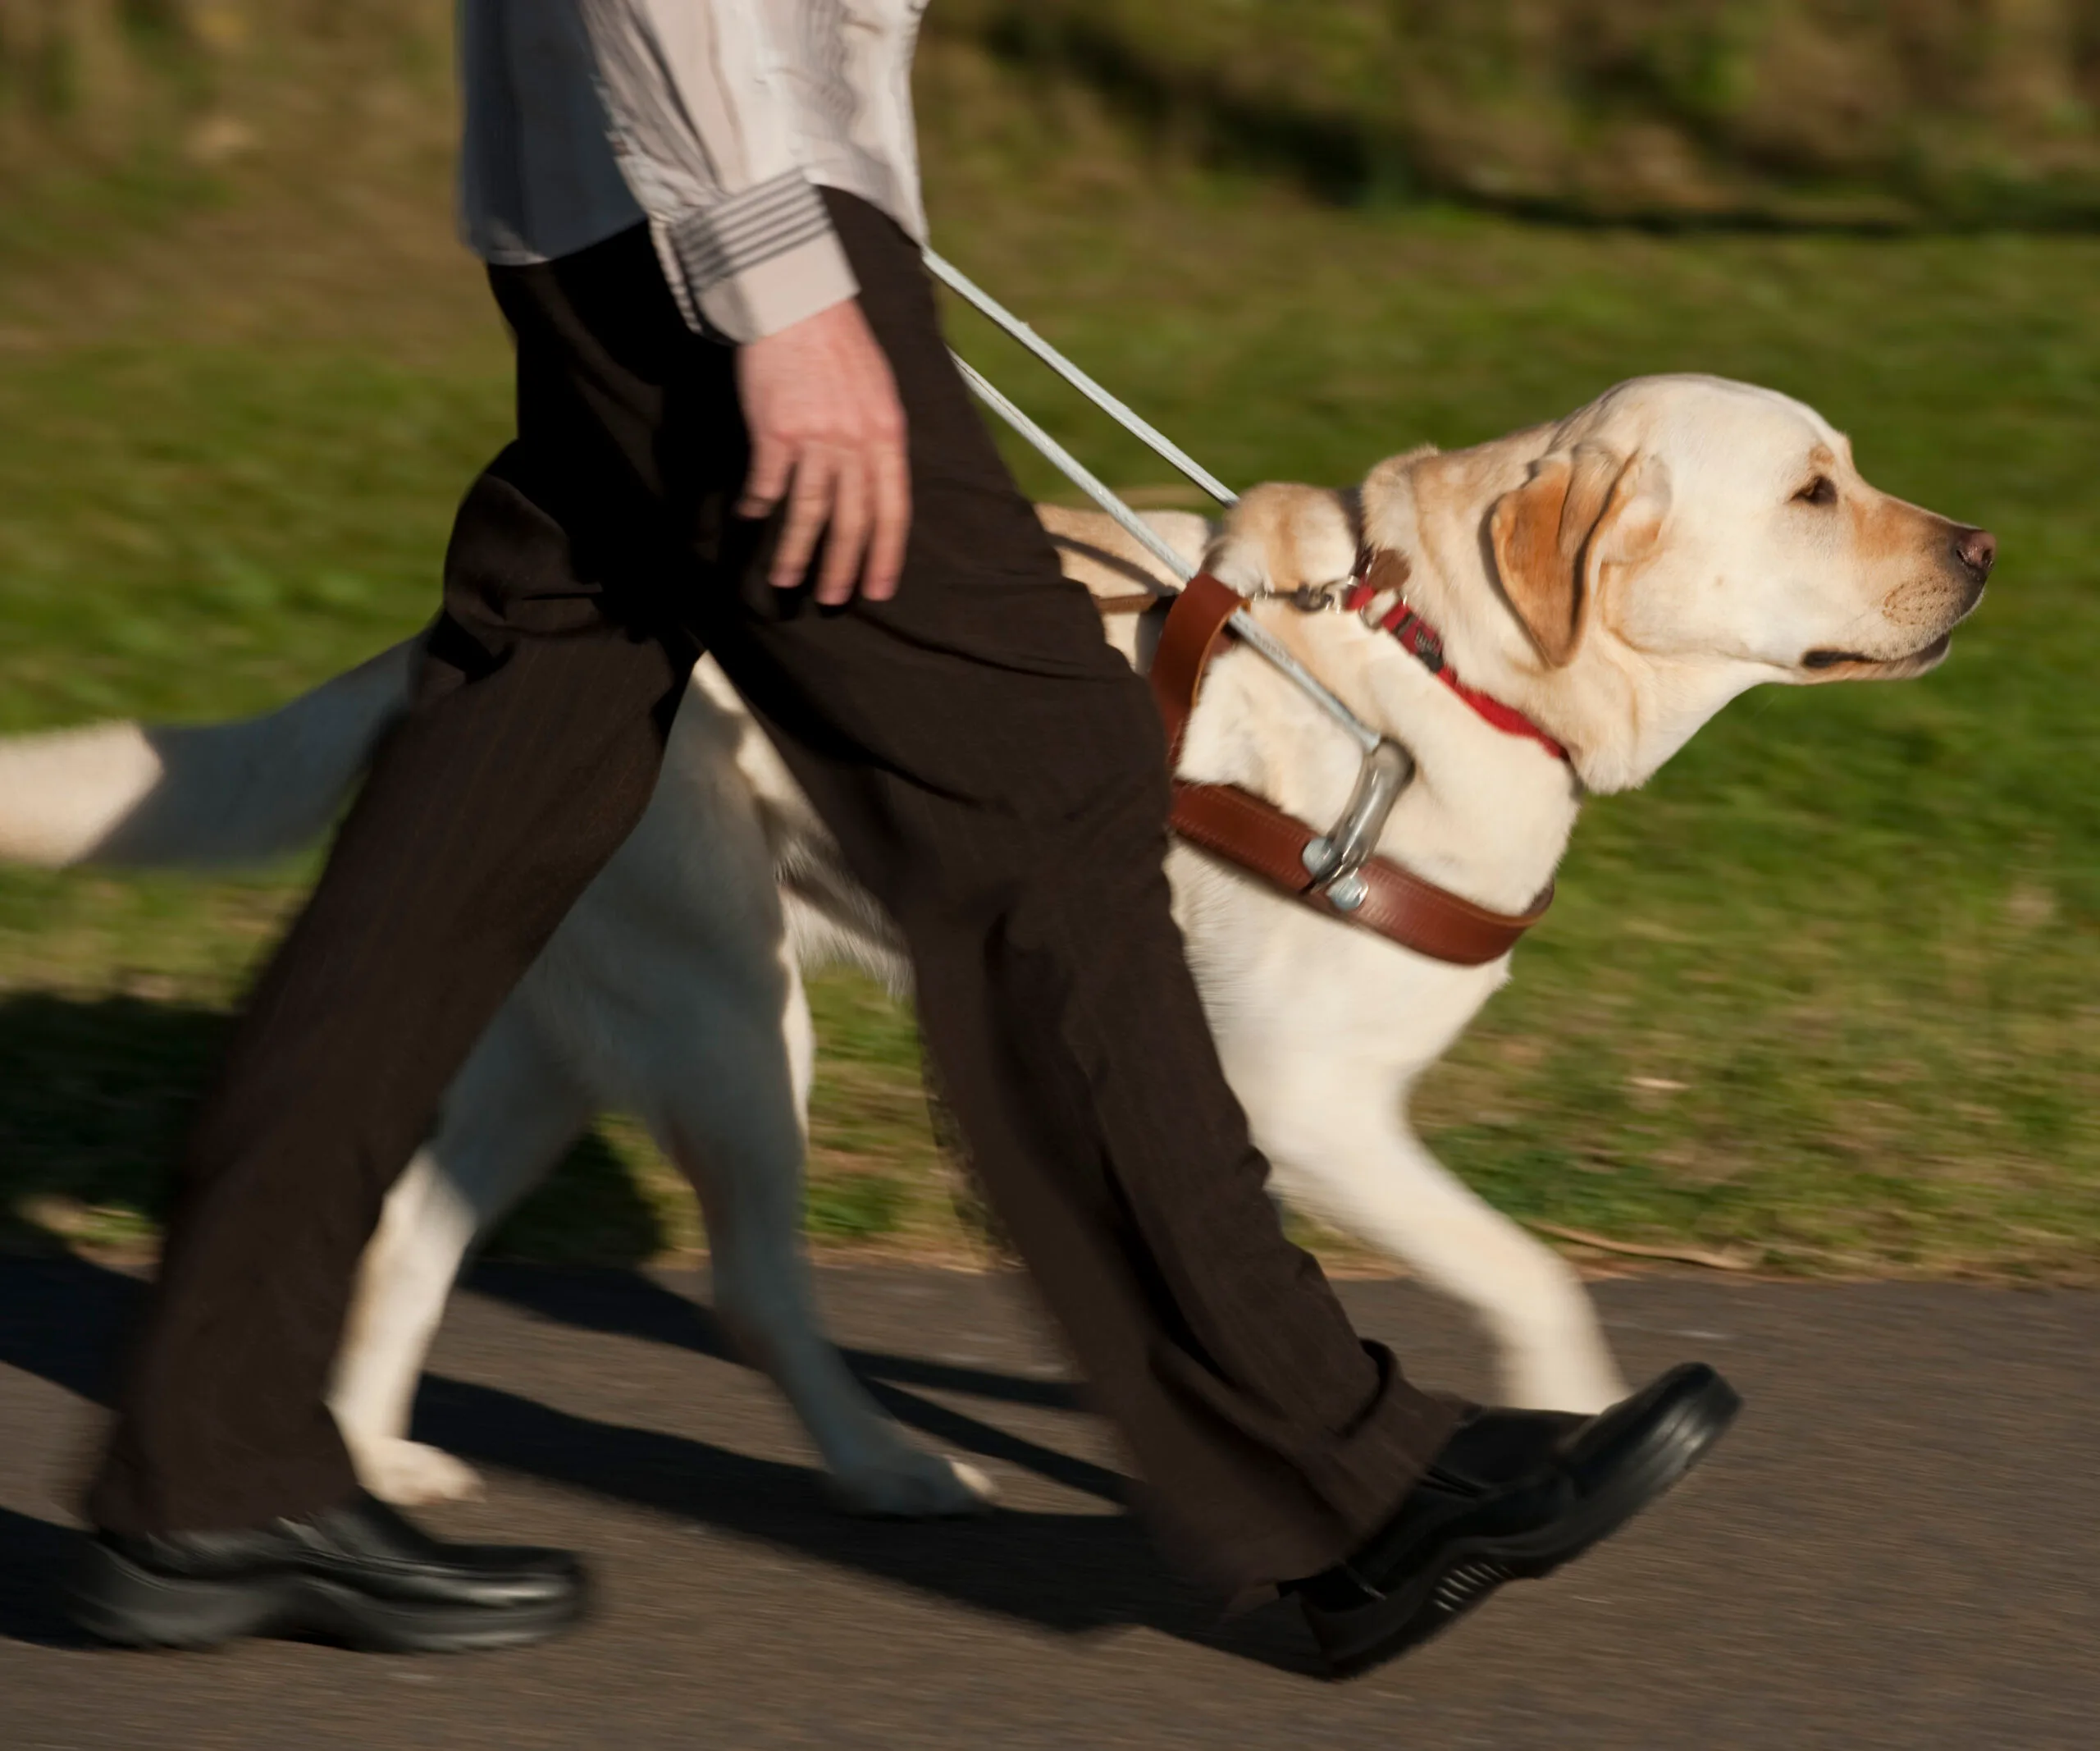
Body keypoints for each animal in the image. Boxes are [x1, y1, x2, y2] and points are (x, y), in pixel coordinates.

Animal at [0, 371, 1982, 1511]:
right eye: (1812, 490)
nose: (1977, 545)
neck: (1451, 658)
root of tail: (461, 648)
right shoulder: (1301, 1106)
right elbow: (1522, 1273)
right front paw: (1566, 1418)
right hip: (739, 1027)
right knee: (754, 1284)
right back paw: (886, 1465)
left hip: (572, 1034)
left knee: (409, 1225)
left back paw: (378, 1455)